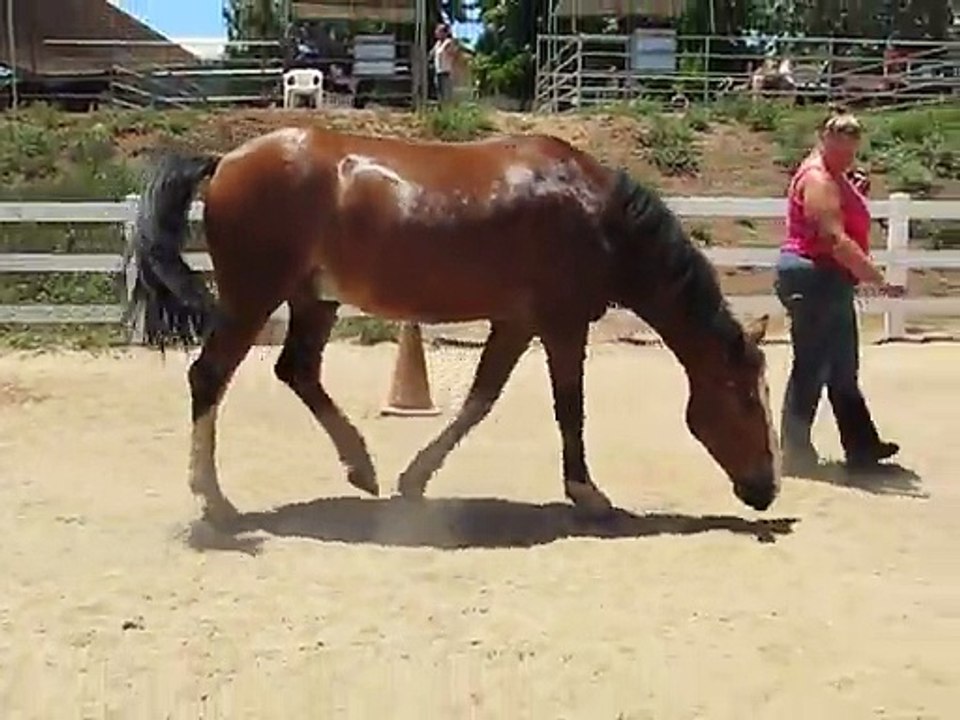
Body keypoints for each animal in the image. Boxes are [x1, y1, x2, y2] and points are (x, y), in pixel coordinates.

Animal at [126, 126, 781, 527]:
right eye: (748, 399)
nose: (767, 488)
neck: (595, 215)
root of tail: (227, 161)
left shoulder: (517, 322)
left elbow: (480, 399)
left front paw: (414, 479)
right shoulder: (562, 324)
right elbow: (569, 408)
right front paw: (588, 495)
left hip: (313, 301)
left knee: (298, 372)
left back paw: (361, 469)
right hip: (253, 297)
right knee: (209, 376)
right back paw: (214, 500)